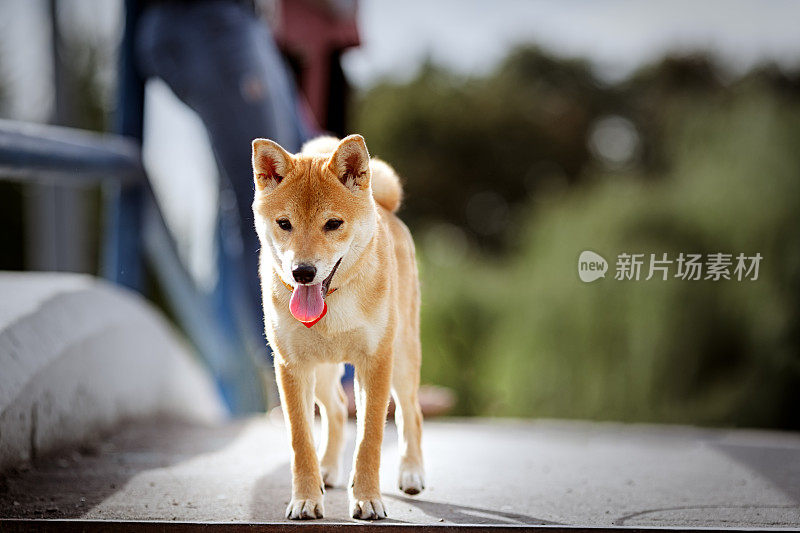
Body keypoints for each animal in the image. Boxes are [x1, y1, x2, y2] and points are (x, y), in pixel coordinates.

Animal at [252, 134, 424, 520]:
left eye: (332, 224)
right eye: (284, 223)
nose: (302, 272)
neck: (331, 304)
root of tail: (386, 210)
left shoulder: (375, 362)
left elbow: (370, 437)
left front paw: (367, 498)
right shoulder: (291, 366)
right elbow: (300, 440)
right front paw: (305, 498)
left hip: (403, 360)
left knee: (411, 413)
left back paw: (411, 473)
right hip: (322, 372)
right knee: (335, 408)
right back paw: (327, 470)